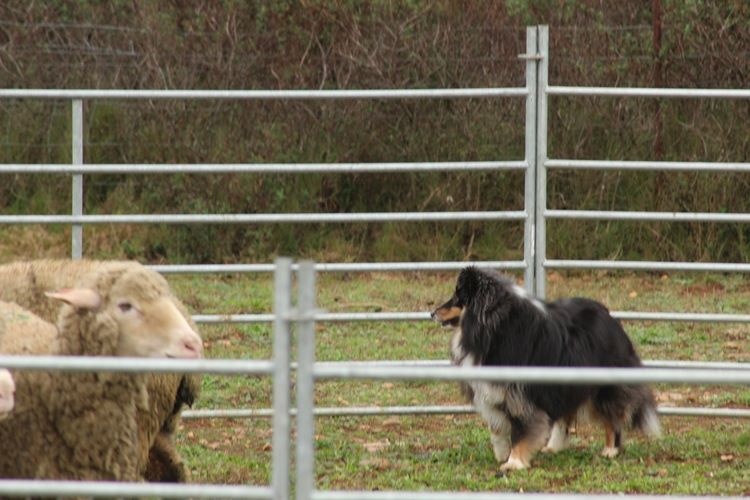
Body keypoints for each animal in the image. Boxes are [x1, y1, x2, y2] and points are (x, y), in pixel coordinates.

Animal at [432, 268, 660, 470]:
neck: (493, 329)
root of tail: (611, 318)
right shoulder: (494, 393)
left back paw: (611, 450)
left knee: (613, 414)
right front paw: (502, 454)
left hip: (605, 386)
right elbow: (496, 429)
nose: (432, 313)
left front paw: (514, 462)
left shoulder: (520, 397)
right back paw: (553, 447)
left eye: (458, 296)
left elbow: (521, 430)